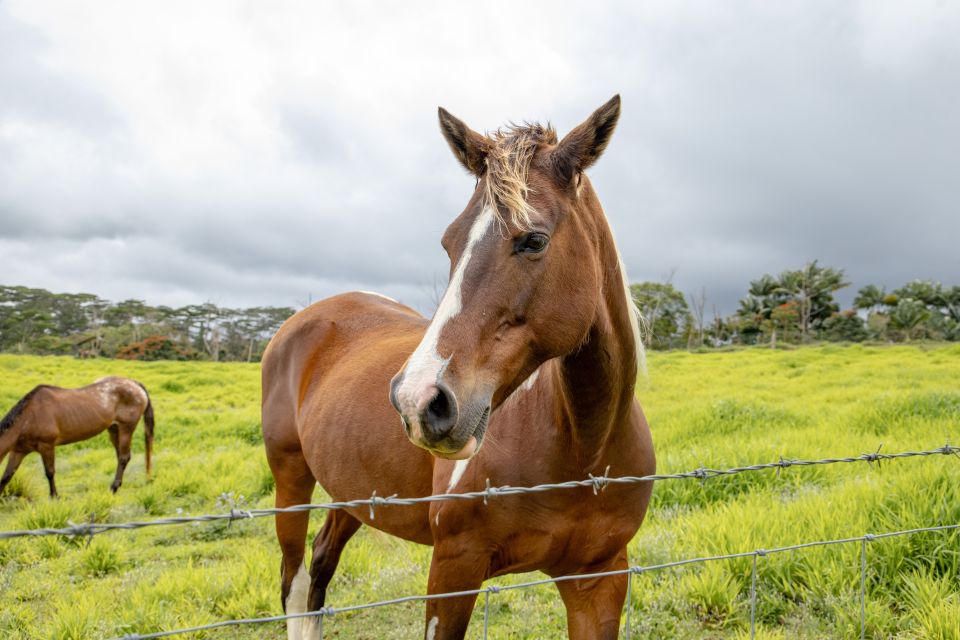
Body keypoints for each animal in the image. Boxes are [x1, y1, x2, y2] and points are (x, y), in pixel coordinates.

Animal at [0, 378, 154, 498]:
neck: (29, 417)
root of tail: (135, 384)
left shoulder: (47, 446)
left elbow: (50, 472)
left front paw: (54, 496)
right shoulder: (18, 451)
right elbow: (7, 476)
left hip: (126, 429)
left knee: (123, 457)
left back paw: (113, 488)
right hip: (114, 430)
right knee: (121, 456)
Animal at [260, 96, 652, 640]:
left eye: (534, 240)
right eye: (449, 243)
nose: (418, 401)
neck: (584, 452)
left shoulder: (600, 579)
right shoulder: (453, 569)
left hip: (352, 491)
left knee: (320, 565)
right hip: (291, 479)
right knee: (296, 585)